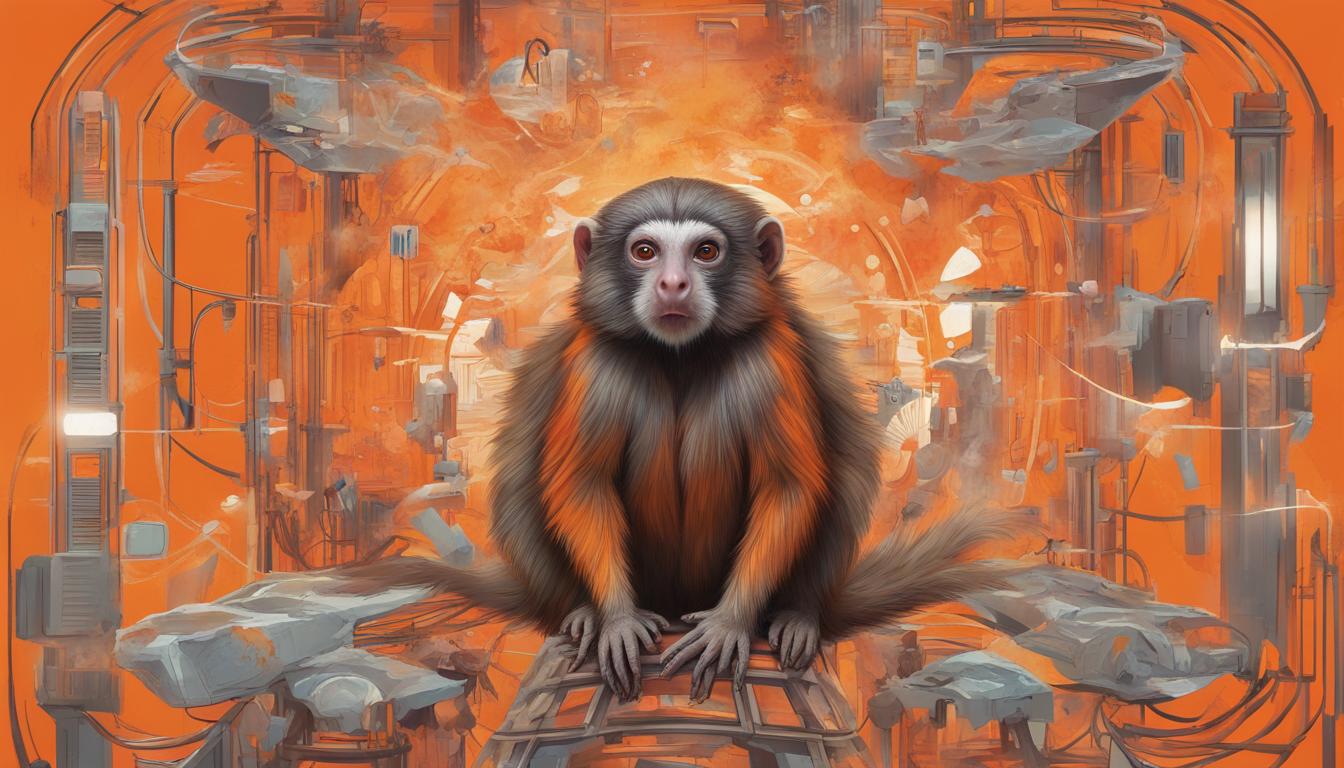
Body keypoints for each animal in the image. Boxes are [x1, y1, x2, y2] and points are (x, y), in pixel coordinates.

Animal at [341, 178, 1012, 702]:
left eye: (705, 251)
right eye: (644, 251)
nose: (671, 285)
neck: (681, 355)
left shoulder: (769, 358)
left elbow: (790, 485)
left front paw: (733, 623)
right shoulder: (598, 361)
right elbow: (581, 481)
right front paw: (613, 619)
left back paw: (796, 614)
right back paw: (580, 612)